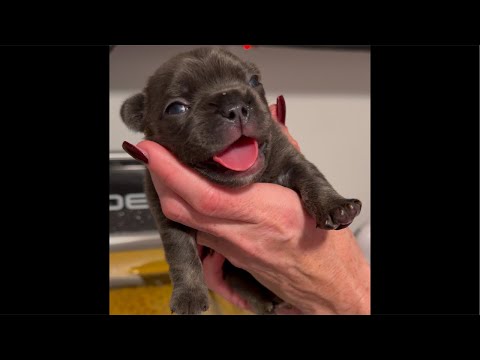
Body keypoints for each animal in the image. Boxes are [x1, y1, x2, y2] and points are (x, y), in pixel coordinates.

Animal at [120, 46, 360, 314]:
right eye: (176, 108)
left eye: (254, 81)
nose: (235, 106)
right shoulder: (166, 212)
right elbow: (181, 253)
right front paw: (188, 296)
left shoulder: (289, 158)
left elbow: (312, 178)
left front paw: (336, 206)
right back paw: (266, 302)